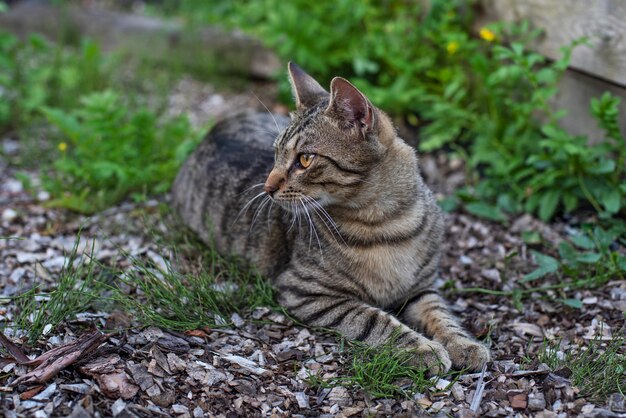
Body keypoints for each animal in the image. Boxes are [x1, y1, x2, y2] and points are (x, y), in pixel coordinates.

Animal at [171, 61, 488, 372]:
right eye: (275, 154)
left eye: (305, 159)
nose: (267, 187)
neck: (385, 223)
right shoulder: (308, 292)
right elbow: (376, 320)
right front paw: (423, 349)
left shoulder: (421, 289)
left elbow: (441, 314)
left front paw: (465, 345)